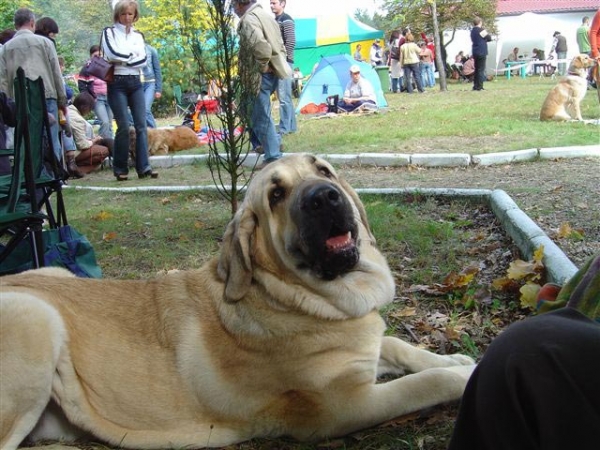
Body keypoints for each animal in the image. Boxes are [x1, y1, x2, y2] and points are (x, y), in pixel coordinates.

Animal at [1, 155, 474, 450]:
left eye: (323, 169)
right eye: (276, 196)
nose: (324, 195)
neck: (292, 296)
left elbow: (399, 346)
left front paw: (452, 358)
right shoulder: (342, 406)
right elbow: (424, 384)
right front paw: (464, 374)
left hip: (54, 276)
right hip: (36, 318)